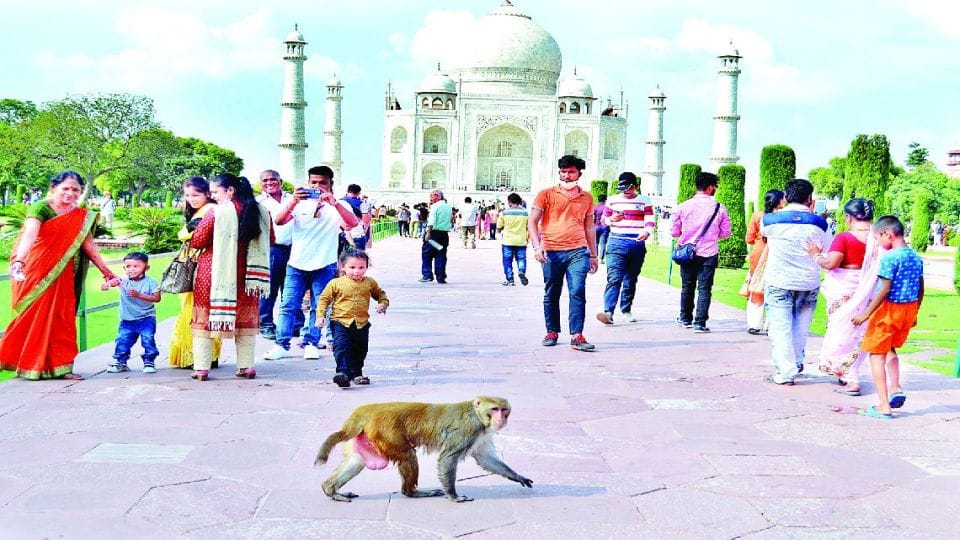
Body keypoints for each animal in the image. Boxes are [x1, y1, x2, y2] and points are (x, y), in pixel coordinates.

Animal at [315, 396, 533, 502]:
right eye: (494, 409)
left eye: (504, 410)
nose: (501, 418)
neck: (476, 413)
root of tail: (366, 410)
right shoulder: (469, 429)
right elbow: (448, 458)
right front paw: (453, 495)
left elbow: (484, 457)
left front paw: (517, 476)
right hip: (386, 434)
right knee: (408, 456)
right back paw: (412, 492)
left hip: (367, 437)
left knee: (356, 462)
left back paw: (330, 489)